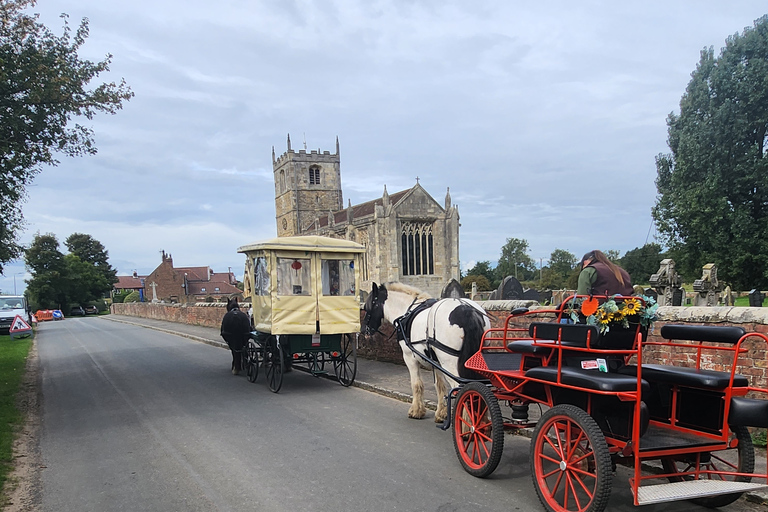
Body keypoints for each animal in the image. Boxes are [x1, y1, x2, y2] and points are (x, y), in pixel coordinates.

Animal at [364, 282, 488, 422]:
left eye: (368, 307)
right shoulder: (436, 361)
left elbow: (416, 384)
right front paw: (442, 413)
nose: (364, 330)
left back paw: (467, 423)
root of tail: (467, 310)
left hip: (449, 364)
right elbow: (440, 385)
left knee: (463, 390)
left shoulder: (409, 358)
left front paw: (416, 411)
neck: (406, 312)